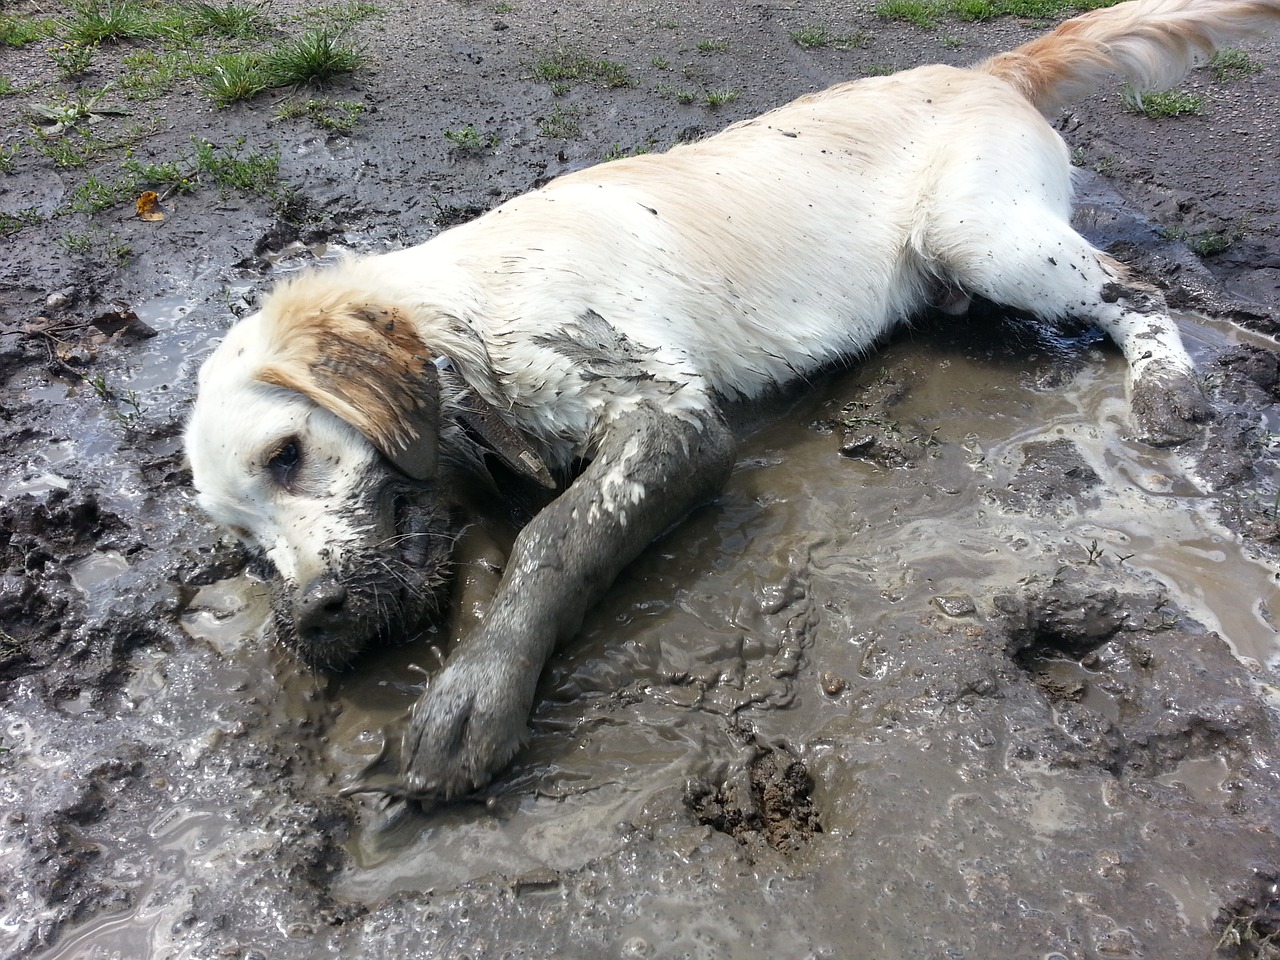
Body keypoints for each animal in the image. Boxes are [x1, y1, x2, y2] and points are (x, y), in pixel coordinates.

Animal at [183, 0, 1280, 803]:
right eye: (242, 543)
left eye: (288, 453)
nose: (310, 618)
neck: (472, 315)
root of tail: (983, 70)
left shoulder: (668, 417)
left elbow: (553, 541)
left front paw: (473, 698)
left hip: (982, 232)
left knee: (1137, 291)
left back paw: (1167, 387)